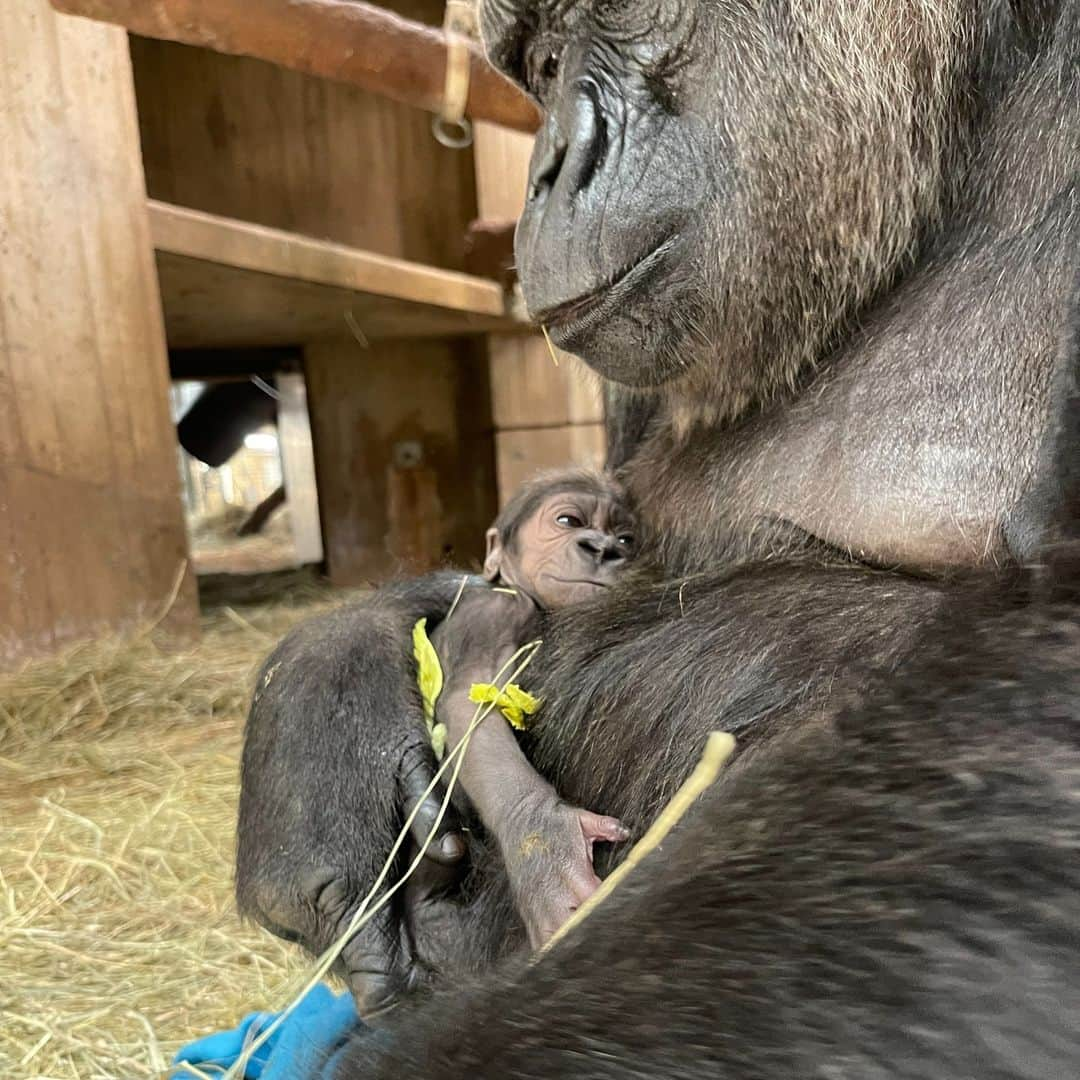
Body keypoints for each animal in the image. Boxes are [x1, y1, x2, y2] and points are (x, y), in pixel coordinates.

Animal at [423, 464, 639, 946]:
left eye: (625, 538)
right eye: (569, 521)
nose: (604, 549)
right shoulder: (495, 614)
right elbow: (469, 707)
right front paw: (542, 838)